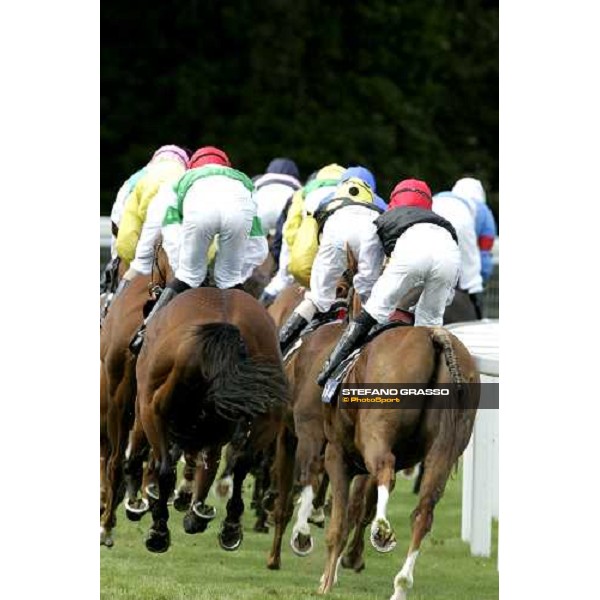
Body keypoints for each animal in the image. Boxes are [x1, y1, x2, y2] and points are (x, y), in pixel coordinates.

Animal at [135, 286, 288, 552]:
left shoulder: (151, 408)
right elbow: (210, 463)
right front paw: (196, 513)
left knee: (168, 467)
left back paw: (161, 528)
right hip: (267, 411)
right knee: (241, 462)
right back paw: (230, 526)